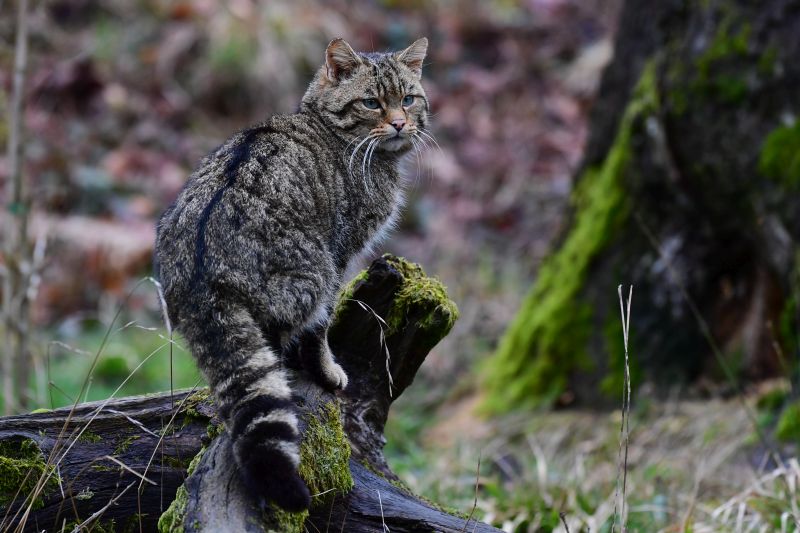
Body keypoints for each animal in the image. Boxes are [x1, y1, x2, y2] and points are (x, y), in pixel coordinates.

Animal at [156, 38, 432, 512]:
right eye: (372, 103)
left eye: (409, 99)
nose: (399, 123)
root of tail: (201, 269)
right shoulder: (341, 253)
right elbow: (320, 333)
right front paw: (328, 370)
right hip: (312, 275)